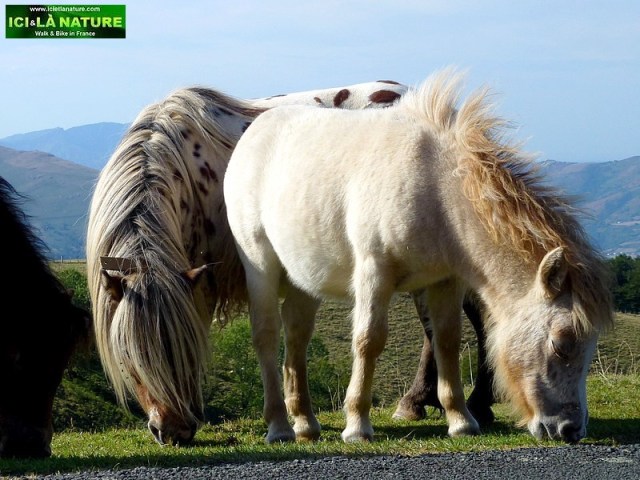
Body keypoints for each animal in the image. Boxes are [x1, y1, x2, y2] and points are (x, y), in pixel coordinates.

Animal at [223, 68, 614, 444]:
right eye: (561, 344)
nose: (570, 429)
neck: (435, 186)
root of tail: (254, 134)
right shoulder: (374, 272)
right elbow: (368, 340)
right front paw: (357, 426)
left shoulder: (445, 280)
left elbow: (447, 340)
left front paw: (461, 421)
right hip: (260, 266)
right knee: (266, 336)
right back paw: (279, 427)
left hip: (303, 279)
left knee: (296, 338)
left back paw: (305, 423)